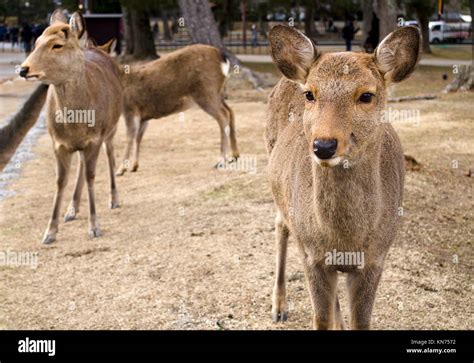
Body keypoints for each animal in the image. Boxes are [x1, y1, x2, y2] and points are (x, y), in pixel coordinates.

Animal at [18, 10, 123, 245]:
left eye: (57, 45)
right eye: (36, 42)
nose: (22, 69)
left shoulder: (95, 139)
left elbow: (92, 176)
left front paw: (94, 227)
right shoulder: (58, 143)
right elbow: (60, 181)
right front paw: (49, 232)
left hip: (111, 130)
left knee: (110, 157)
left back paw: (114, 199)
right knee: (82, 166)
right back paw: (72, 209)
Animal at [115, 43, 241, 176]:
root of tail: (222, 57)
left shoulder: (130, 109)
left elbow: (130, 137)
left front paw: (120, 169)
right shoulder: (144, 116)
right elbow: (138, 137)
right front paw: (134, 166)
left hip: (206, 91)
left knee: (223, 115)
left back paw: (221, 160)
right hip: (218, 93)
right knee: (230, 111)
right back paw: (234, 155)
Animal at [264, 25, 420, 330]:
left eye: (367, 95)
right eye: (310, 94)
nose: (323, 145)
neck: (345, 239)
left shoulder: (376, 258)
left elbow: (361, 322)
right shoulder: (311, 255)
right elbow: (320, 319)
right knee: (280, 226)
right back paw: (279, 308)